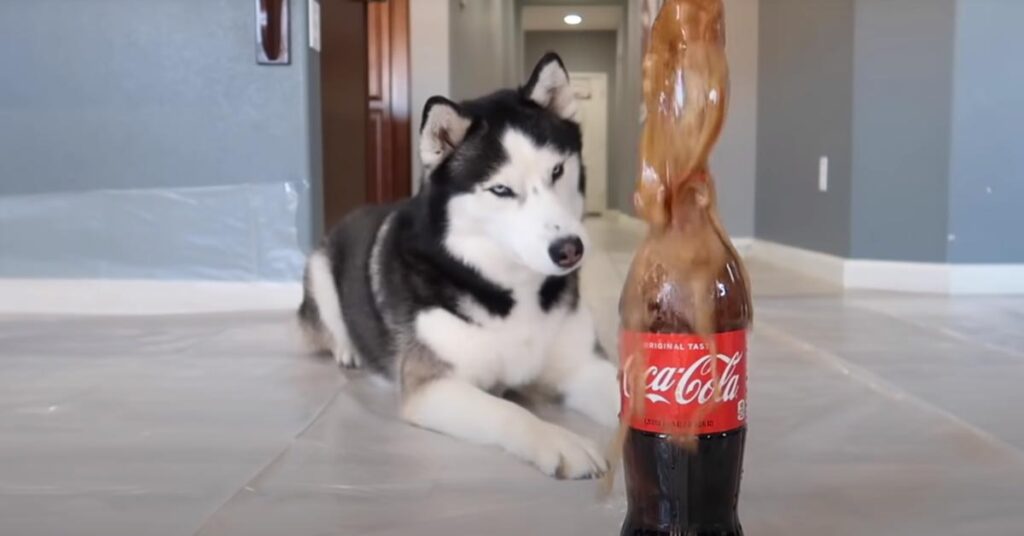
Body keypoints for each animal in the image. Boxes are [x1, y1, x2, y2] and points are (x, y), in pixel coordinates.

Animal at [294, 54, 614, 479]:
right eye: (500, 189)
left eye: (557, 171)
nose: (569, 250)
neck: (512, 287)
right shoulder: (434, 386)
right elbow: (507, 410)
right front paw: (559, 439)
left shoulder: (583, 367)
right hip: (319, 269)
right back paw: (348, 349)